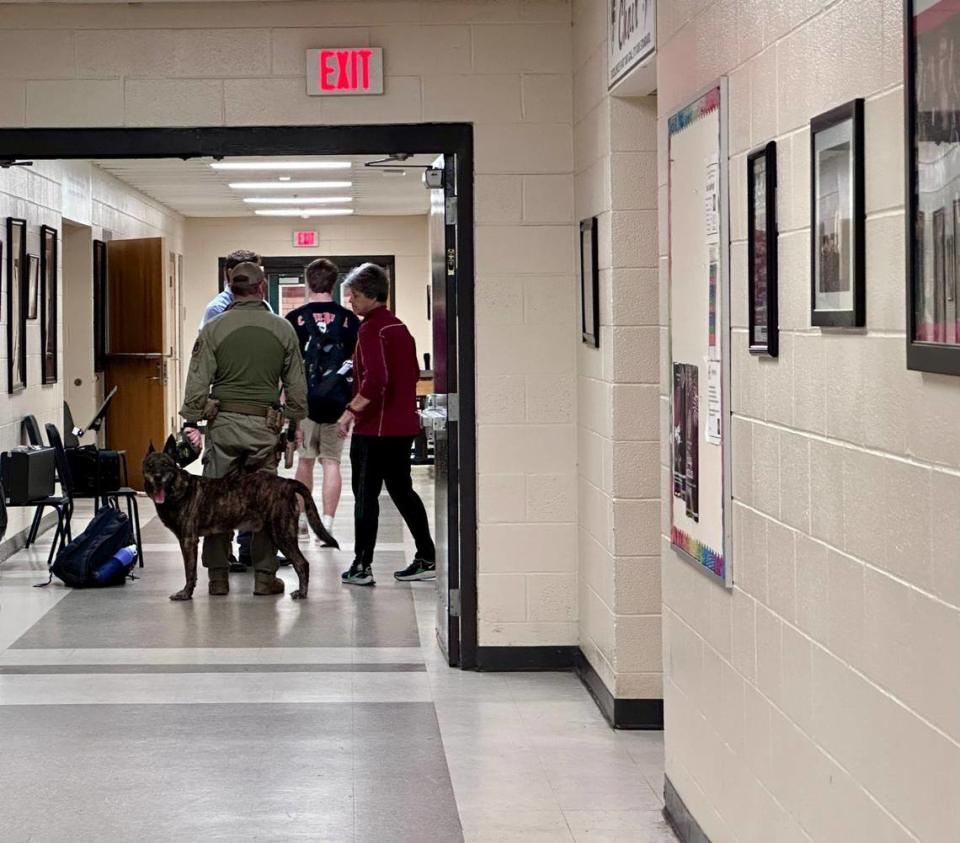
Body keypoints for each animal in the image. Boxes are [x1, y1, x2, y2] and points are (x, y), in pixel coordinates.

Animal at [141, 438, 338, 604]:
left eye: (166, 465)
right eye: (150, 465)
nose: (157, 477)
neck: (176, 489)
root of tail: (287, 482)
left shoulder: (188, 541)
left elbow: (190, 572)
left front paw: (185, 594)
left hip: (282, 534)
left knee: (302, 564)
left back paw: (302, 593)